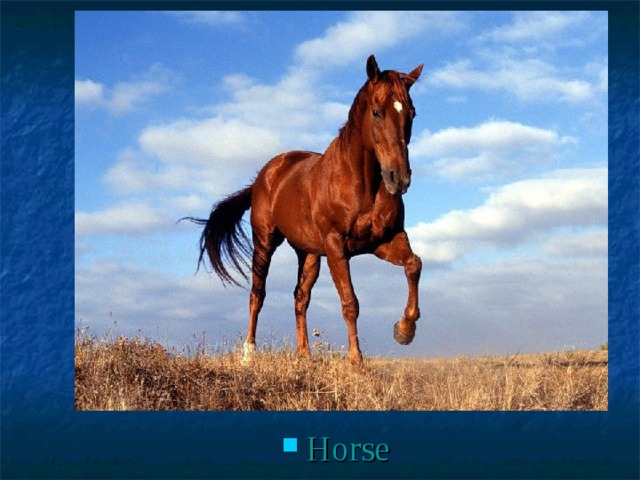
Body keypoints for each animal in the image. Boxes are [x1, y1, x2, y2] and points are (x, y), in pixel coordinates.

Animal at [185, 55, 424, 366]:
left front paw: (404, 330)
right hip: (265, 242)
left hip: (308, 253)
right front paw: (356, 361)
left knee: (300, 297)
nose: (399, 179)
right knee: (257, 294)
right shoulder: (336, 246)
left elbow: (414, 265)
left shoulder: (385, 241)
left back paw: (304, 354)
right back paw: (249, 353)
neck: (362, 185)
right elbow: (350, 302)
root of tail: (263, 176)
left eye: (412, 114)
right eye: (376, 112)